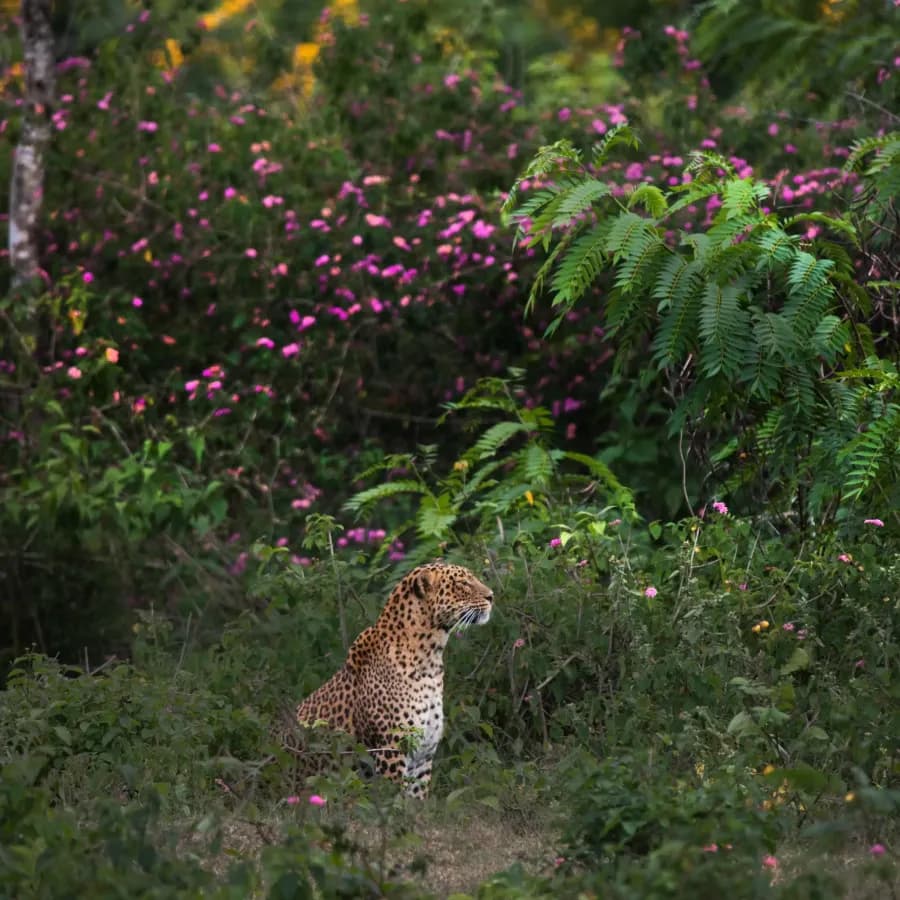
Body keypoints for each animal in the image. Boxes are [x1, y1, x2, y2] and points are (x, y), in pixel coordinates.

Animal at [290, 561, 493, 798]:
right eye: (463, 583)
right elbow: (393, 801)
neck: (431, 659)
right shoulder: (391, 750)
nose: (491, 596)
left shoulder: (423, 756)